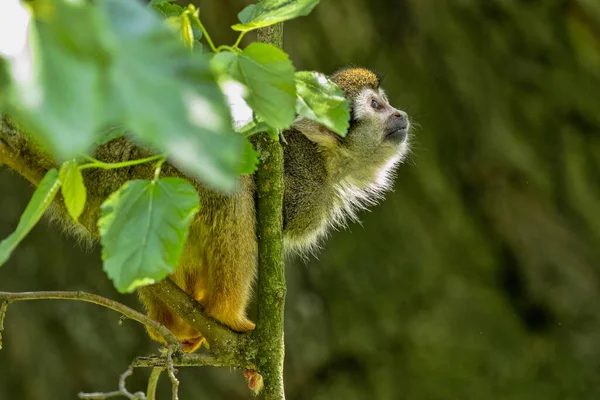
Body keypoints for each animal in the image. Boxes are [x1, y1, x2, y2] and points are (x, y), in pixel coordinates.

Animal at [0, 67, 408, 352]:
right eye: (376, 106)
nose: (400, 114)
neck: (327, 162)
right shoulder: (302, 183)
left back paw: (173, 320)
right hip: (135, 172)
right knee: (232, 188)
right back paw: (224, 315)